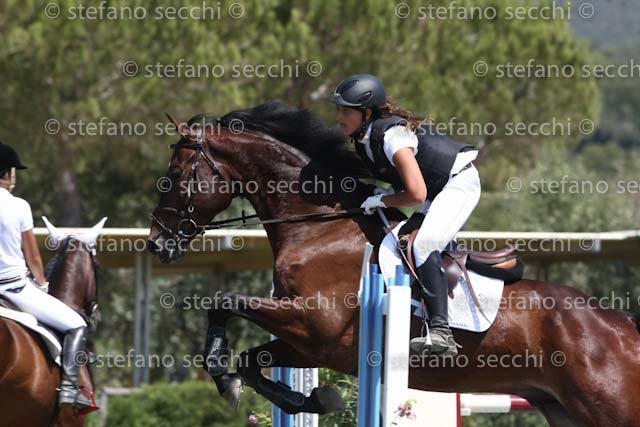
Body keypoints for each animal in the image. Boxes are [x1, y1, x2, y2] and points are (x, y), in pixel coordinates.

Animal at [148, 101, 640, 427]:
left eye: (174, 176)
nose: (157, 245)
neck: (318, 228)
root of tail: (623, 327)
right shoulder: (312, 345)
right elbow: (252, 359)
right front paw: (306, 399)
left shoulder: (313, 324)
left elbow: (223, 299)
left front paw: (224, 372)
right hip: (564, 410)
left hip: (610, 408)